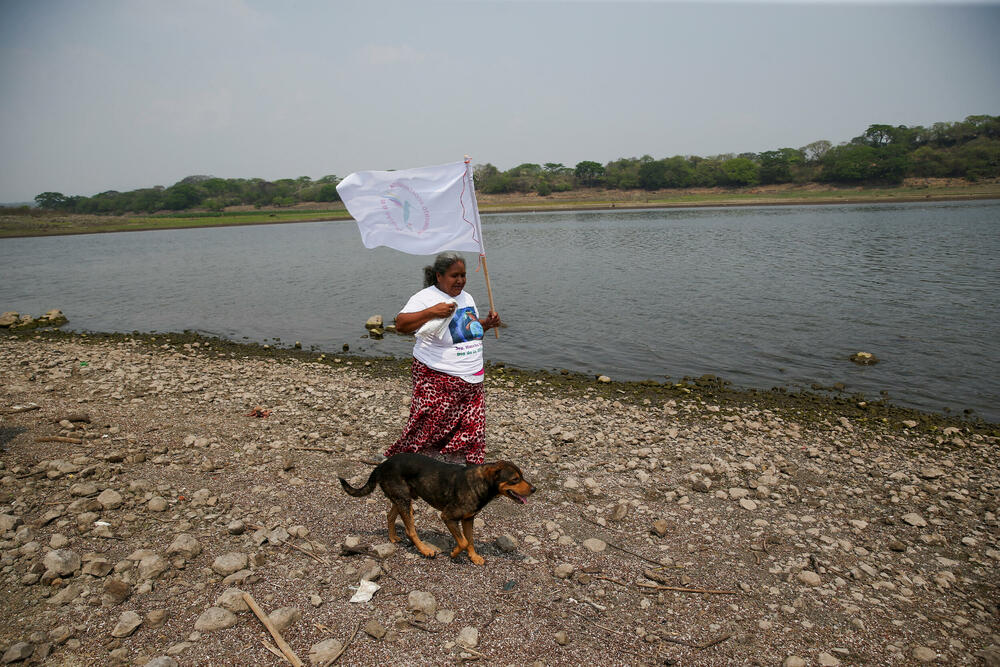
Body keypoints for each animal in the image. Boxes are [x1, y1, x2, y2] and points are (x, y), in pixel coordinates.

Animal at [340, 454, 536, 564]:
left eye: (522, 476)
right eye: (515, 479)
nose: (534, 489)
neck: (480, 483)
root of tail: (382, 465)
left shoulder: (468, 518)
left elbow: (470, 540)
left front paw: (474, 557)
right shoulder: (447, 516)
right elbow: (463, 542)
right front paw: (455, 553)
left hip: (403, 498)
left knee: (390, 516)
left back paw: (393, 537)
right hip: (404, 500)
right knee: (411, 530)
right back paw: (425, 550)